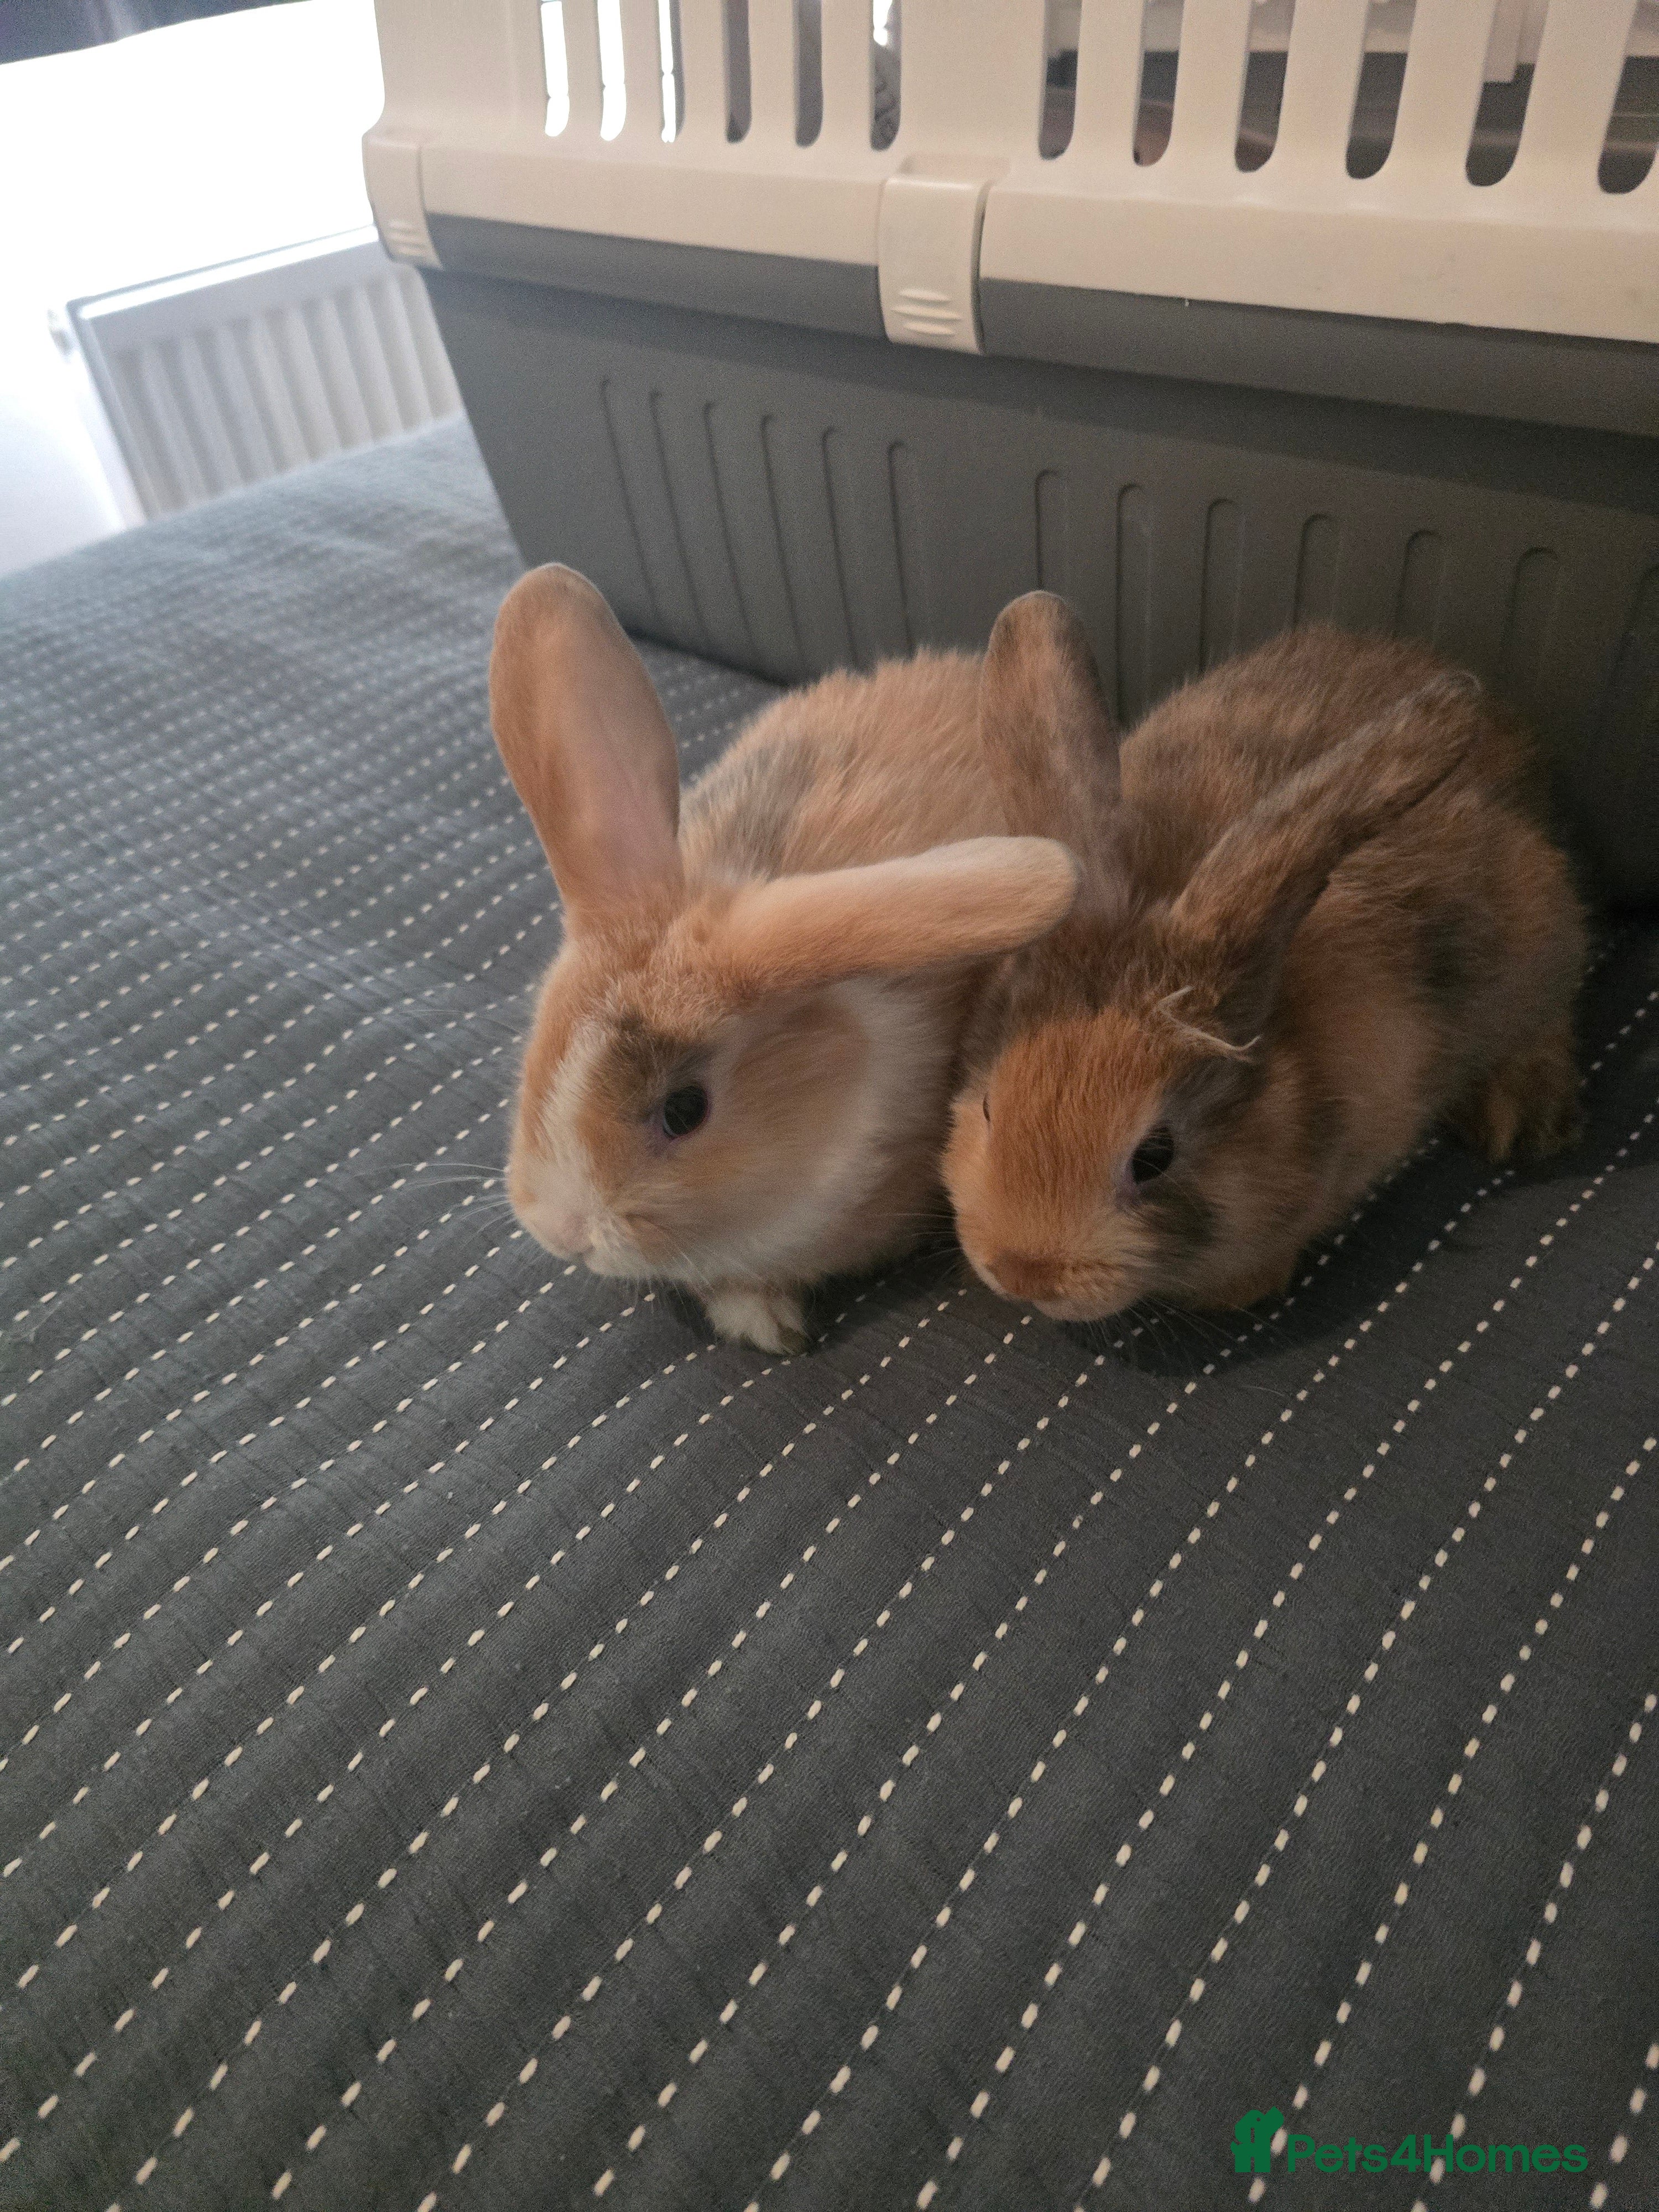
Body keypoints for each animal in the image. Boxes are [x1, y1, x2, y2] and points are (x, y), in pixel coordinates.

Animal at [942, 597, 1588, 1322]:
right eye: (989, 1107)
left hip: (1540, 938)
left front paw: (1238, 1292)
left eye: (1155, 1157)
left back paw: (1526, 1122)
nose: (1024, 1272)